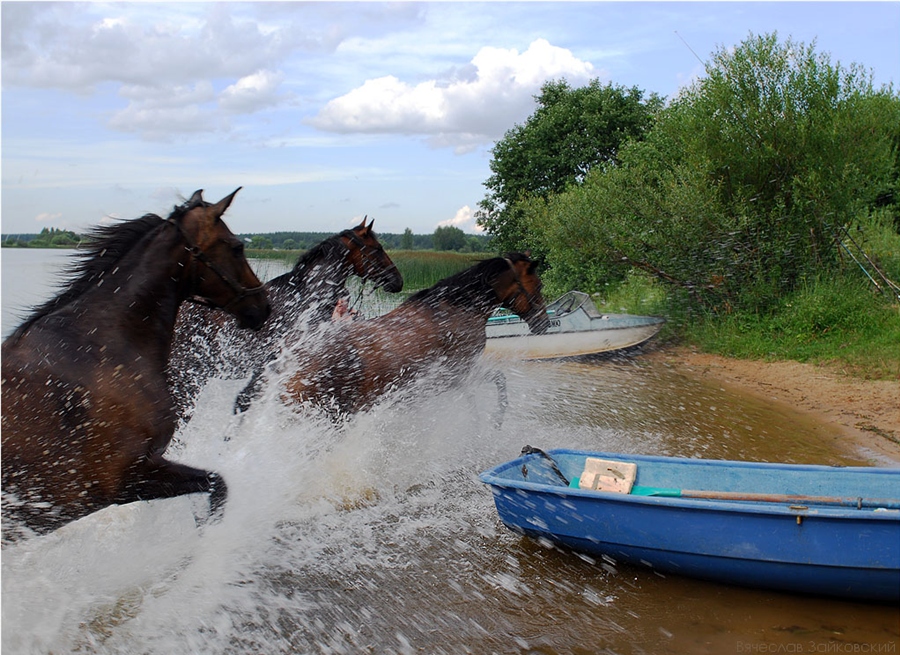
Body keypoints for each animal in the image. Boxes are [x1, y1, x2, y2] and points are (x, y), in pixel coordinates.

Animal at [274, 254, 544, 418]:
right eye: (539, 285)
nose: (545, 323)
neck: (457, 308)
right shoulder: (458, 374)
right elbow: (497, 383)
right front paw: (495, 421)